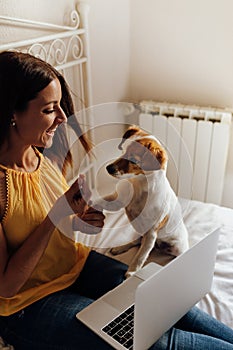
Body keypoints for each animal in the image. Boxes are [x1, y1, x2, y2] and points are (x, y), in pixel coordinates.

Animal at [96, 124, 189, 278]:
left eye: (133, 159)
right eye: (122, 150)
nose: (108, 168)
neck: (139, 186)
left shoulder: (151, 233)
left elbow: (140, 256)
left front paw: (132, 271)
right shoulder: (118, 201)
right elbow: (102, 200)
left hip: (177, 247)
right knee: (137, 241)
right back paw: (120, 248)